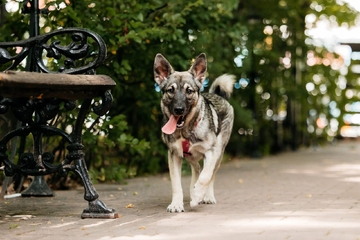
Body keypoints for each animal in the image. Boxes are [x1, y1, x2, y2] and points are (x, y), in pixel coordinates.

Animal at [153, 52, 235, 212]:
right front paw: (176, 203)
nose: (178, 109)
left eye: (189, 91)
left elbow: (206, 176)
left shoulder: (211, 152)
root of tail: (219, 96)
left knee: (210, 174)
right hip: (190, 156)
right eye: (170, 90)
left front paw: (198, 195)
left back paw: (206, 195)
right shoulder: (174, 155)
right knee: (196, 168)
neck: (186, 131)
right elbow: (176, 184)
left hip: (219, 153)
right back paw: (193, 189)